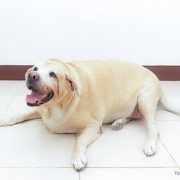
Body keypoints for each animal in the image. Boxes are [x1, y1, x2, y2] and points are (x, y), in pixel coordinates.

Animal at [0, 59, 179, 170]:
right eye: (35, 68)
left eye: (53, 74)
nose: (32, 75)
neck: (57, 106)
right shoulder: (40, 109)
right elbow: (20, 114)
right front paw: (6, 119)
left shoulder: (93, 126)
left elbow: (79, 141)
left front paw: (77, 157)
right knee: (135, 116)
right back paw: (119, 121)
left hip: (144, 99)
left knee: (153, 128)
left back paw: (149, 143)